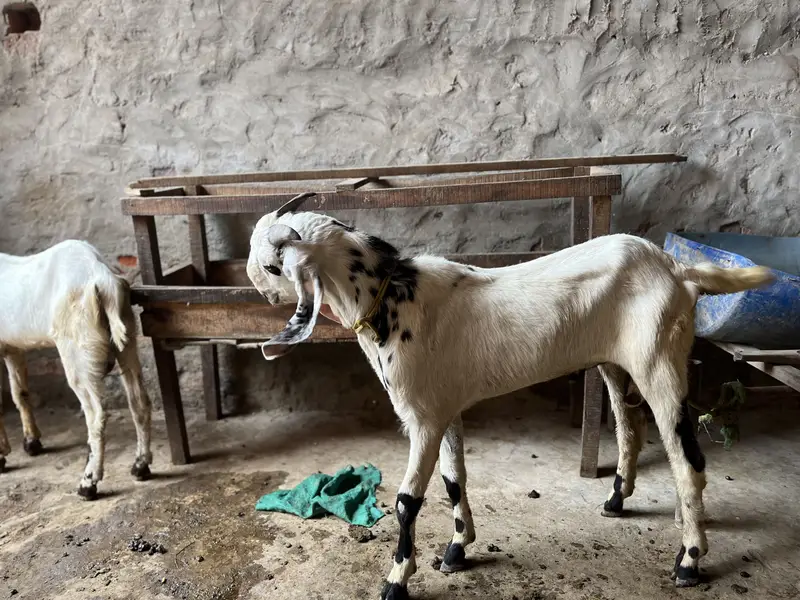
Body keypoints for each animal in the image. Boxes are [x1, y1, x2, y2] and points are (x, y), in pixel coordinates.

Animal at [0, 240, 152, 499]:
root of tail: (102, 278)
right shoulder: (13, 347)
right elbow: (20, 393)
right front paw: (31, 442)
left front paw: (2, 454)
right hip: (127, 336)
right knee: (139, 401)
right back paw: (140, 465)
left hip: (77, 350)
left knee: (96, 415)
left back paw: (88, 482)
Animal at [247, 194, 773, 599]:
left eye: (273, 265)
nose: (261, 291)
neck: (393, 298)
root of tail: (678, 269)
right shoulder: (445, 409)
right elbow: (454, 480)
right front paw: (457, 549)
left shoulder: (422, 417)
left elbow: (406, 501)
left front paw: (397, 579)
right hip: (616, 362)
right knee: (632, 425)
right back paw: (619, 500)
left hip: (661, 363)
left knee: (688, 460)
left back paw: (689, 559)